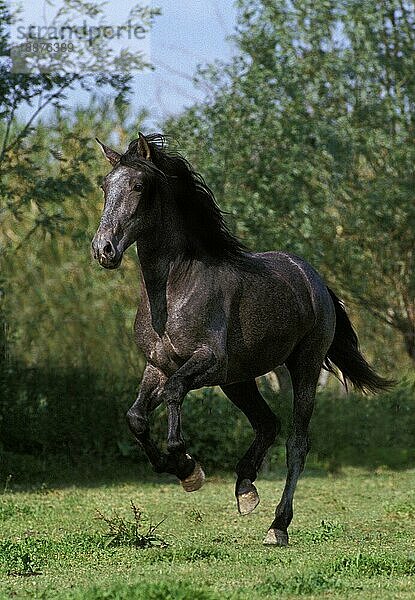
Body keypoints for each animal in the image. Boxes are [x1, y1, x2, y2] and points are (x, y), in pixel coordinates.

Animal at [92, 134, 394, 548]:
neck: (174, 288)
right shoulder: (157, 365)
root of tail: (314, 279)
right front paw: (182, 471)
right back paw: (246, 489)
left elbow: (173, 393)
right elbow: (136, 417)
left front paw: (187, 468)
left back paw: (277, 526)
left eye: (138, 186)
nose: (103, 249)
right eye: (105, 186)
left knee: (296, 443)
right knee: (267, 424)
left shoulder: (207, 361)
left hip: (303, 367)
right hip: (238, 380)